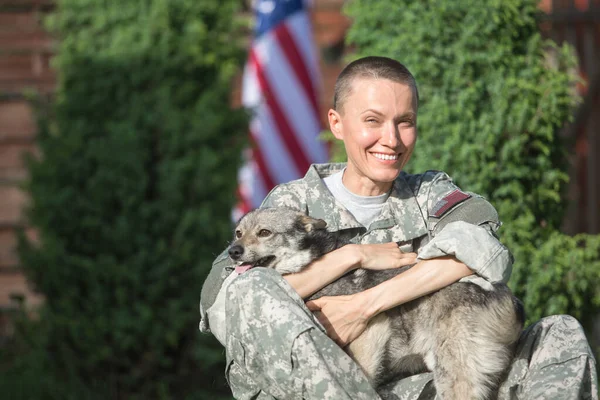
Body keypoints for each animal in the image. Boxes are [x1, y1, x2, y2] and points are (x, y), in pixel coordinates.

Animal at [230, 208, 524, 398]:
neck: (312, 261)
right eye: (238, 233)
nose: (233, 251)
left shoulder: (369, 333)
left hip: (453, 374)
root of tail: (506, 298)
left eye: (264, 232)